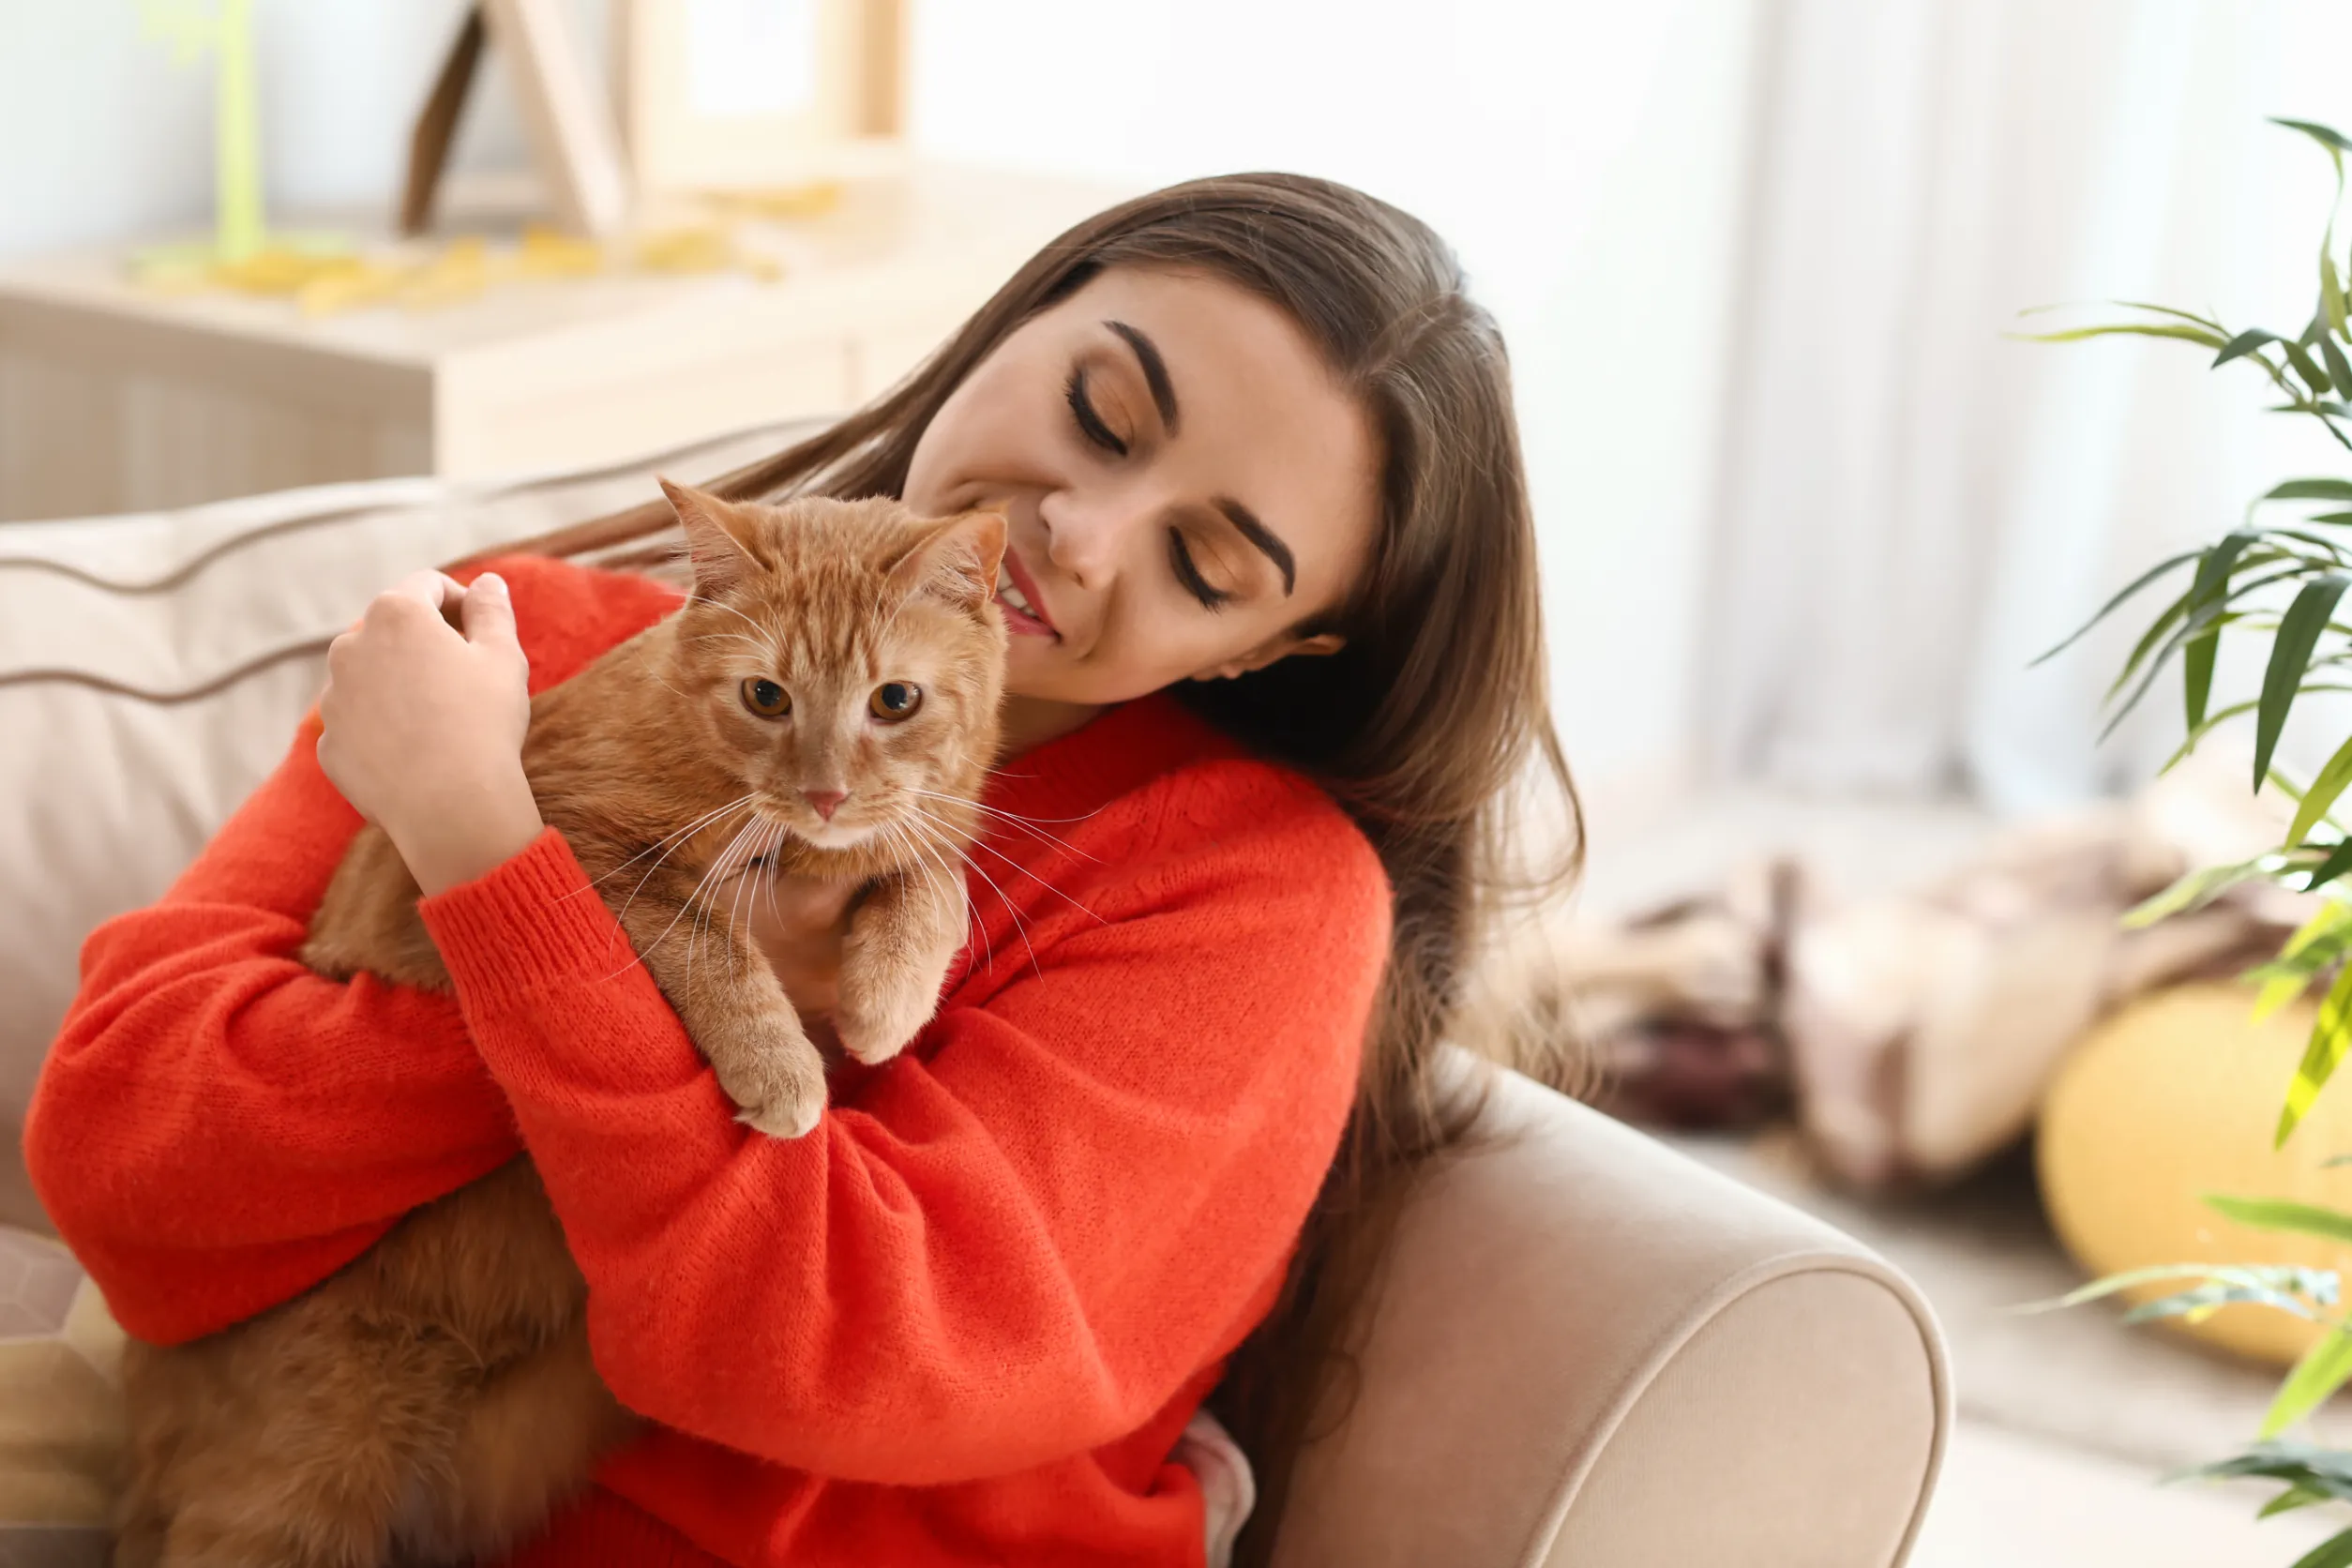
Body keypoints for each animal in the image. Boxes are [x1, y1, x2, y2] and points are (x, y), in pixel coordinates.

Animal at [114, 484, 1011, 1560]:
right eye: (766, 697)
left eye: (895, 701)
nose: (826, 792)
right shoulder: (585, 854)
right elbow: (712, 950)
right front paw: (784, 1070)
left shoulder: (913, 834)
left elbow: (934, 878)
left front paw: (888, 999)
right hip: (296, 1481)